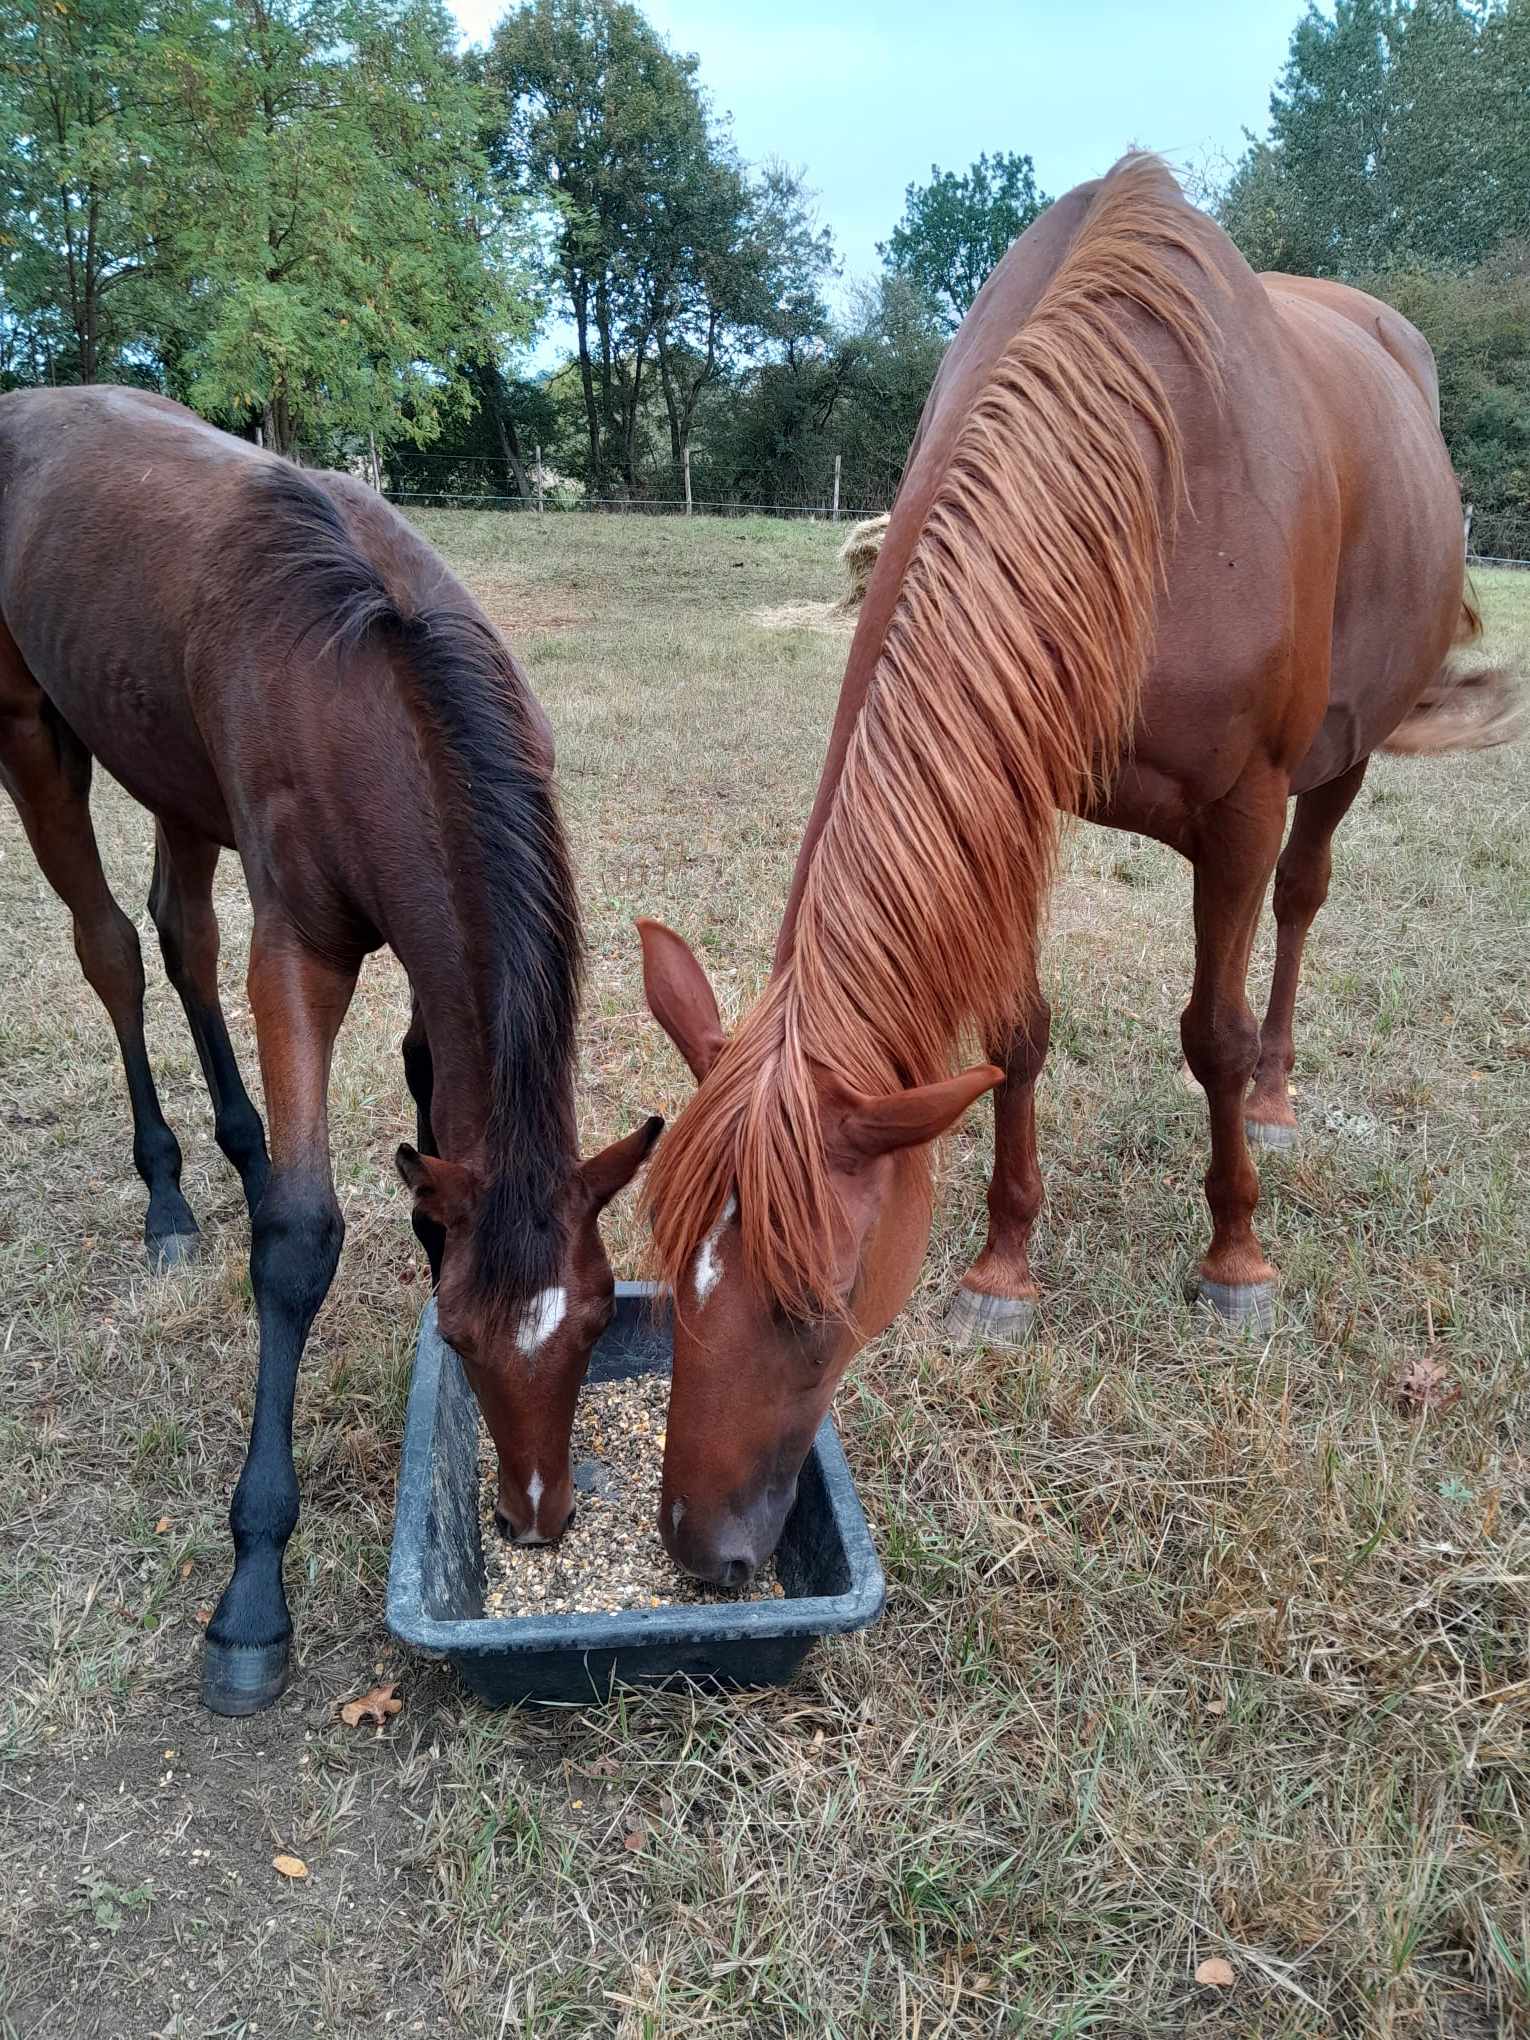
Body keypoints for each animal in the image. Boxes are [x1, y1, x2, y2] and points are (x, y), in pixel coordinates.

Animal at [0, 387, 661, 1713]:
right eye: (464, 1340)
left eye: (597, 1320)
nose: (538, 1518)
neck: (368, 678)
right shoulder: (300, 953)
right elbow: (302, 1244)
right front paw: (253, 1585)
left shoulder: (424, 973)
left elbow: (430, 1133)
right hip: (31, 736)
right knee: (113, 951)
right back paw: (168, 1196)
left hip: (176, 779)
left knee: (180, 932)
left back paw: (241, 1151)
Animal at [633, 154, 1522, 1588]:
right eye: (668, 1264)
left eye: (823, 1303)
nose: (700, 1550)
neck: (1147, 483)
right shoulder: (1017, 790)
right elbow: (1014, 1039)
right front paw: (1003, 1269)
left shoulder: (1241, 809)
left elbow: (1210, 1032)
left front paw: (1235, 1259)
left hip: (1343, 759)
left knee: (1301, 906)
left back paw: (1278, 1097)